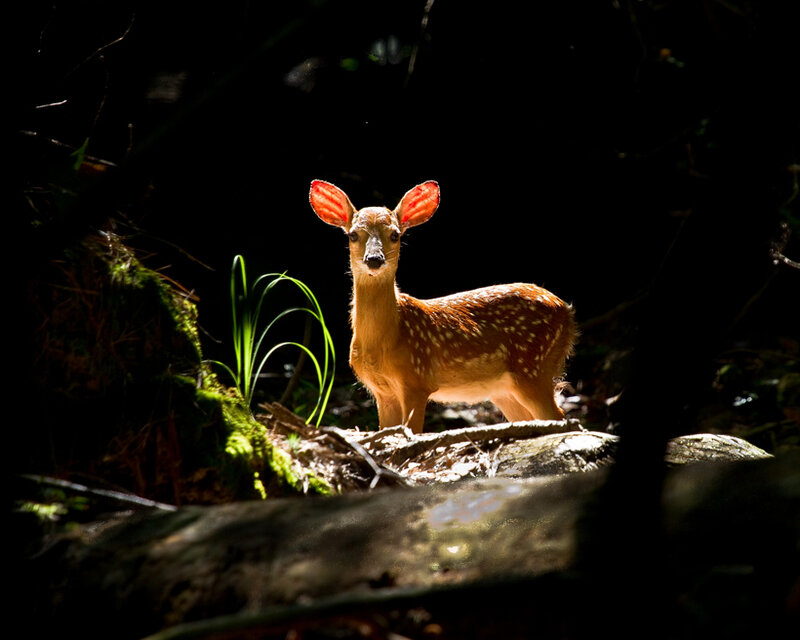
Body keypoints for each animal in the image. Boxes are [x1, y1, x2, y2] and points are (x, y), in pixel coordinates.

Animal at [309, 179, 577, 434]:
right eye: (353, 235)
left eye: (395, 234)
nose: (374, 259)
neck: (386, 339)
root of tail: (567, 310)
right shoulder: (382, 392)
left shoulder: (416, 381)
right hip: (505, 389)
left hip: (533, 367)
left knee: (561, 417)